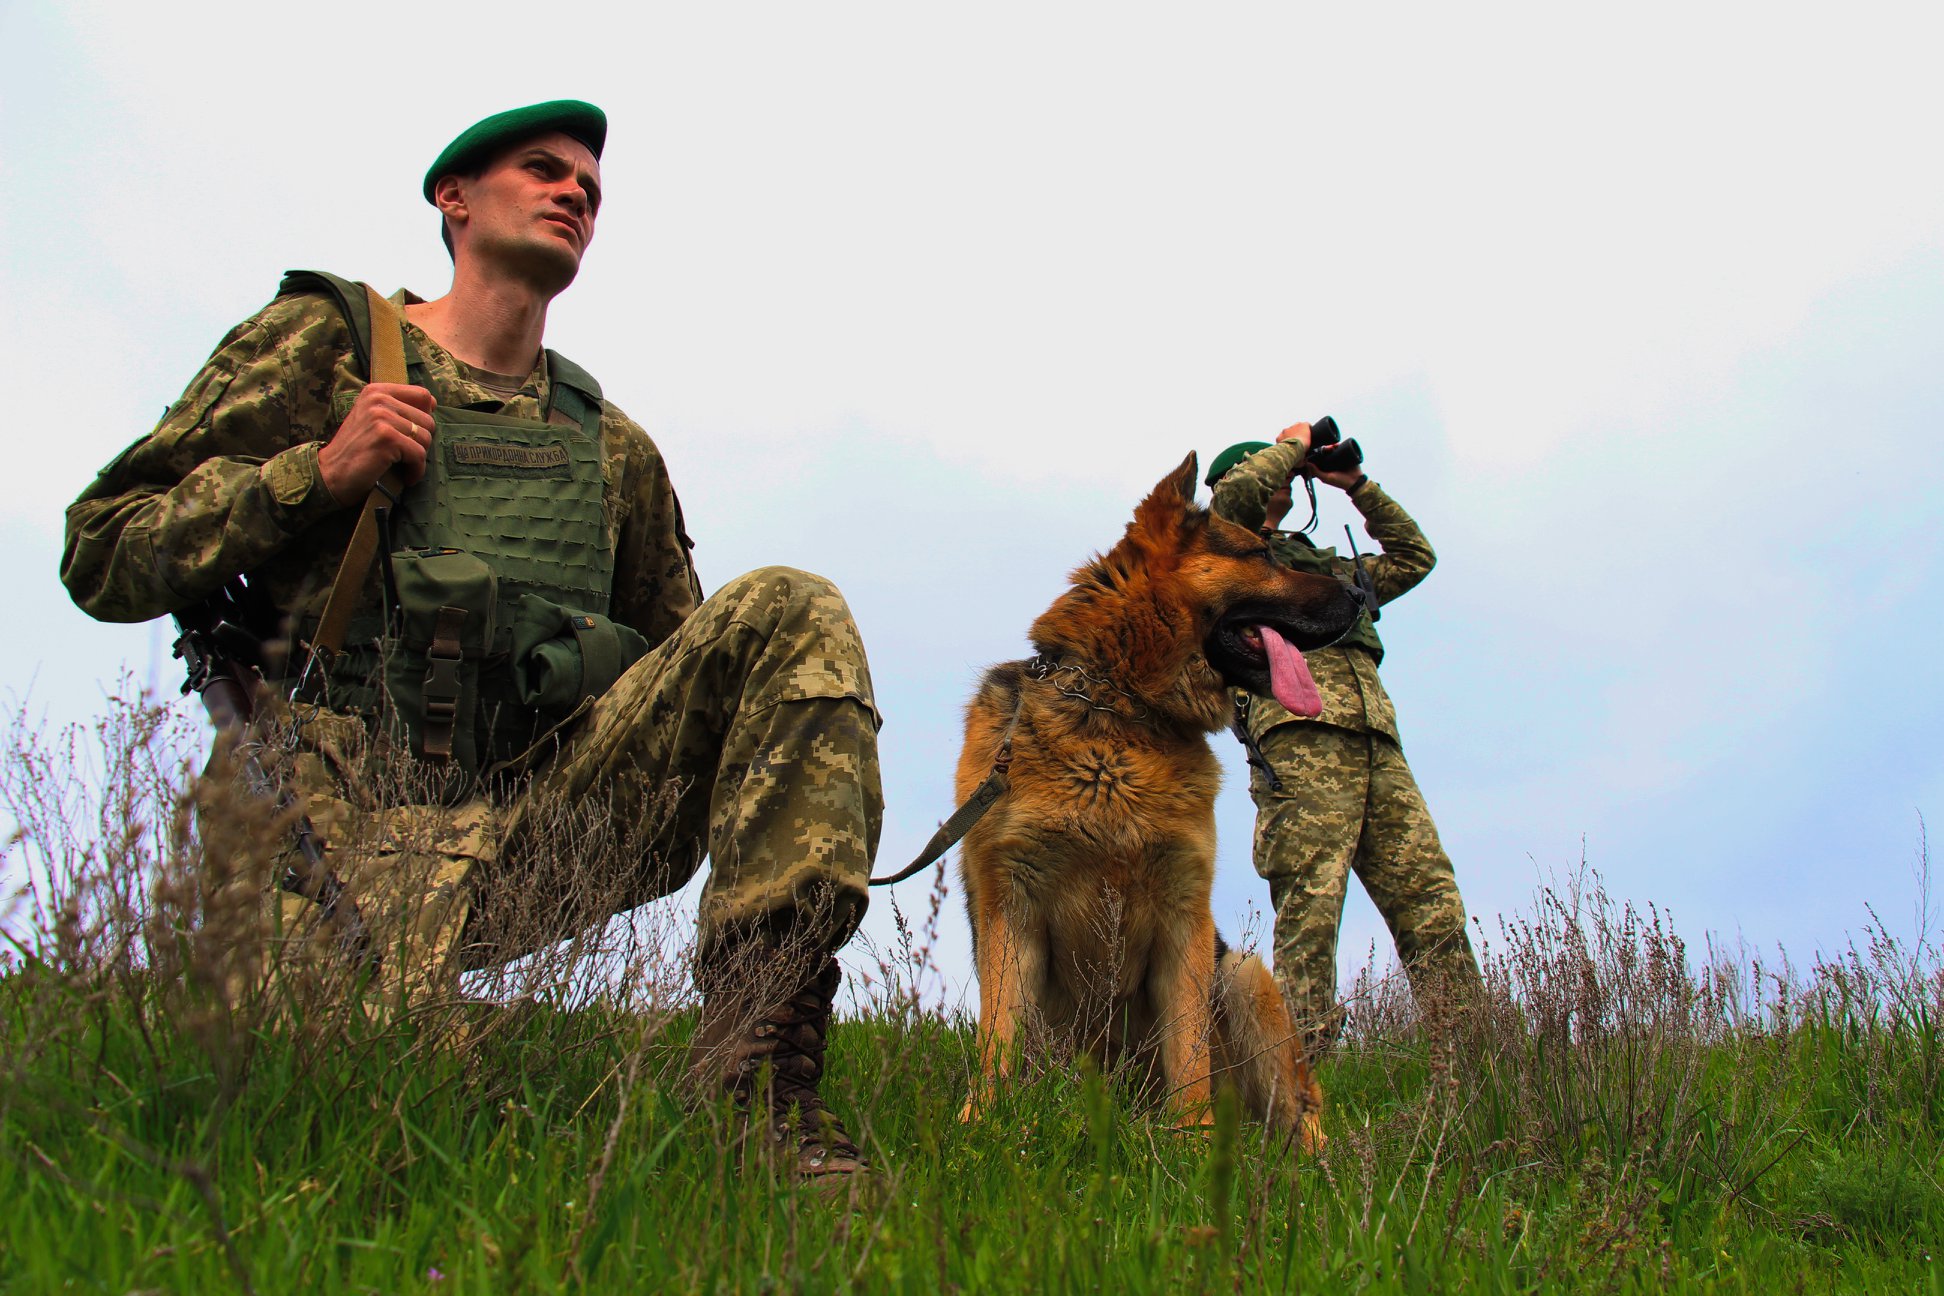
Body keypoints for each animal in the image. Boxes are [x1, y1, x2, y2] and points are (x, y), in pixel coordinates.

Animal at [952, 454, 1353, 1142]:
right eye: (1260, 555)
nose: (1360, 597)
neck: (1117, 707)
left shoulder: (1183, 917)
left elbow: (1188, 1055)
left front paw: (1193, 1144)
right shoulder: (1011, 907)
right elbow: (999, 1034)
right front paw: (982, 1126)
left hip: (1243, 976)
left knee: (1301, 1114)